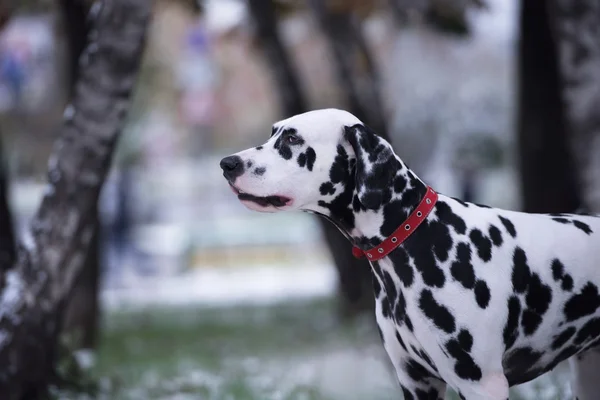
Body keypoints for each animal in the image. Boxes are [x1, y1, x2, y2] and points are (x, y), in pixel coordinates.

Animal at [219, 108, 600, 398]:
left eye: (292, 139)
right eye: (274, 134)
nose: (227, 163)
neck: (418, 239)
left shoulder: (480, 384)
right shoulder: (416, 381)